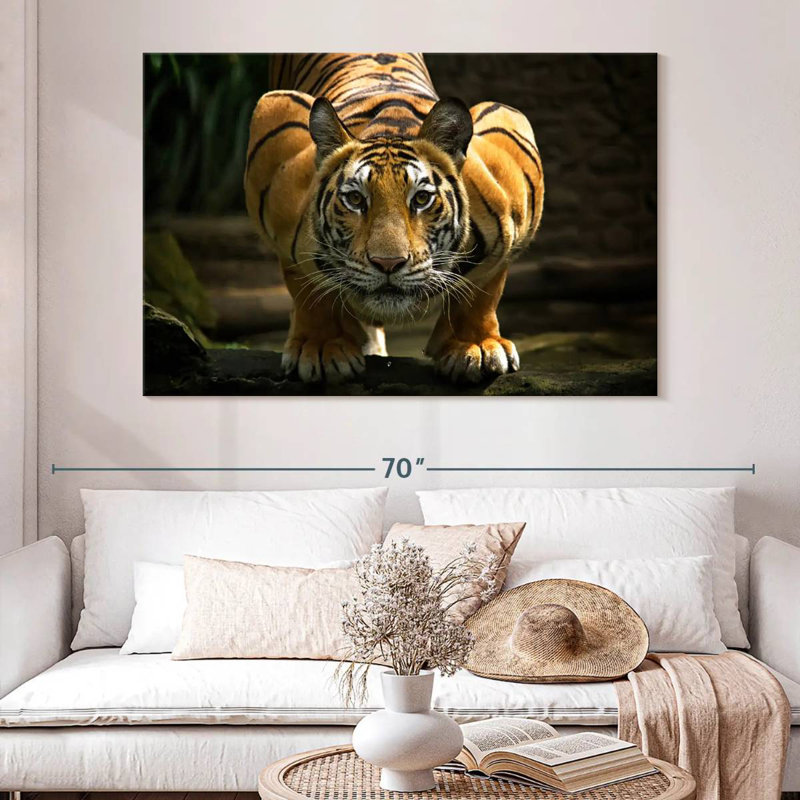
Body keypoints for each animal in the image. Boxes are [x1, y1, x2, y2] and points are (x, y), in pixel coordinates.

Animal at [244, 53, 543, 384]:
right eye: (355, 199)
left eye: (422, 199)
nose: (388, 263)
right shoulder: (276, 129)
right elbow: (309, 287)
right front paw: (322, 347)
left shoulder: (508, 131)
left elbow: (483, 287)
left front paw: (474, 346)